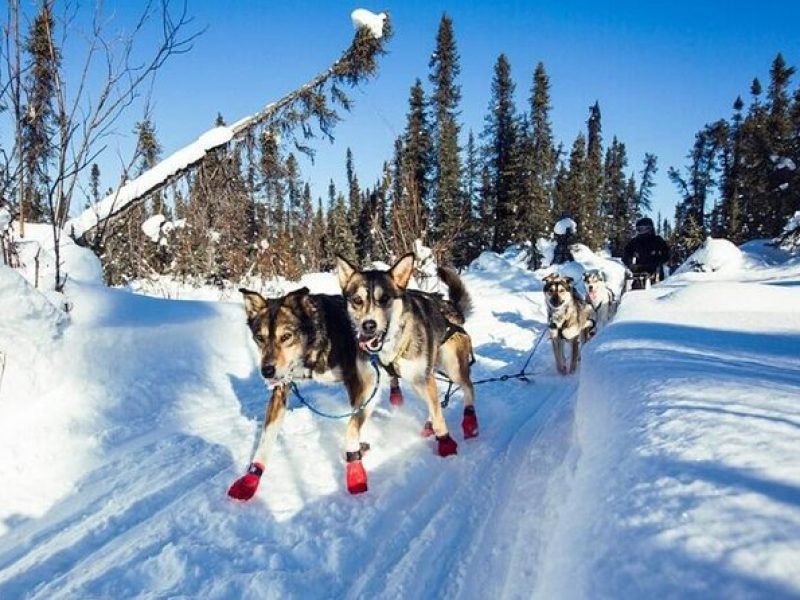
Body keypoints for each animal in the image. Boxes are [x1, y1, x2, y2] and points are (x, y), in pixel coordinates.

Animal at [225, 284, 376, 496]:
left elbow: (352, 427)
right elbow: (266, 438)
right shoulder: (281, 388)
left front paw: (355, 470)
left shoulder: (360, 382)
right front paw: (251, 479)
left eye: (286, 336)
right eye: (260, 338)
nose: (267, 371)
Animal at [336, 252, 478, 454]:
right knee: (434, 403)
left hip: (450, 369)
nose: (368, 325)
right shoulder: (369, 388)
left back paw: (469, 421)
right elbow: (352, 427)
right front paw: (353, 455)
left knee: (467, 388)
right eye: (357, 300)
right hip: (421, 381)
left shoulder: (424, 379)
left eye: (385, 298)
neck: (389, 348)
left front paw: (446, 443)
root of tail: (450, 308)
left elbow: (439, 418)